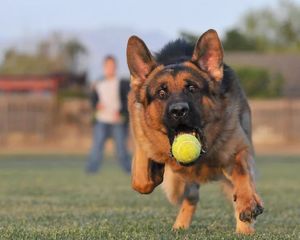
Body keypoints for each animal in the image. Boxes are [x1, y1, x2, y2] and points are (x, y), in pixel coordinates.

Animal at [126, 29, 262, 233]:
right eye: (161, 93)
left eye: (192, 88)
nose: (179, 110)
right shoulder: (141, 135)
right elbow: (141, 180)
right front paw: (154, 171)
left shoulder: (238, 150)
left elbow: (243, 176)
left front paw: (248, 204)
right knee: (189, 196)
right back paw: (180, 225)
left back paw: (245, 226)